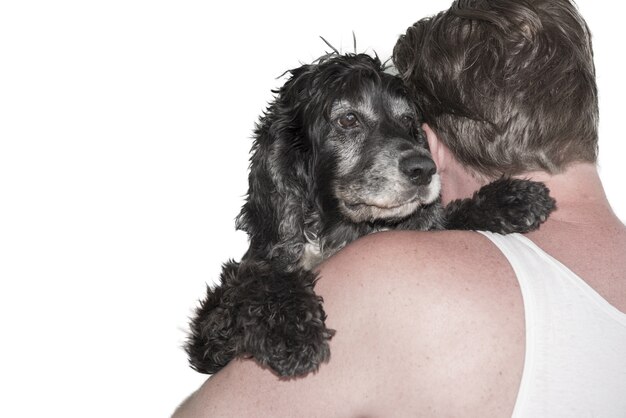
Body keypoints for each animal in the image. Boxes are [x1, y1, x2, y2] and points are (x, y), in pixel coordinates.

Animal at [184, 51, 552, 376]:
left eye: (408, 120)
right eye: (349, 119)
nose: (424, 168)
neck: (340, 231)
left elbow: (442, 221)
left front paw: (511, 200)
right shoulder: (211, 339)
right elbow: (255, 281)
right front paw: (292, 330)